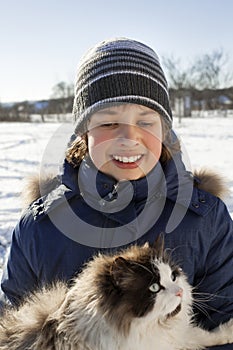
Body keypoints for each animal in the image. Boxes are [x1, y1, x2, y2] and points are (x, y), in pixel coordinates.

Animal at [0, 239, 233, 348]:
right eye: (154, 288)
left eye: (173, 276)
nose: (180, 292)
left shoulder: (177, 338)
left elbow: (205, 335)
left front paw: (228, 331)